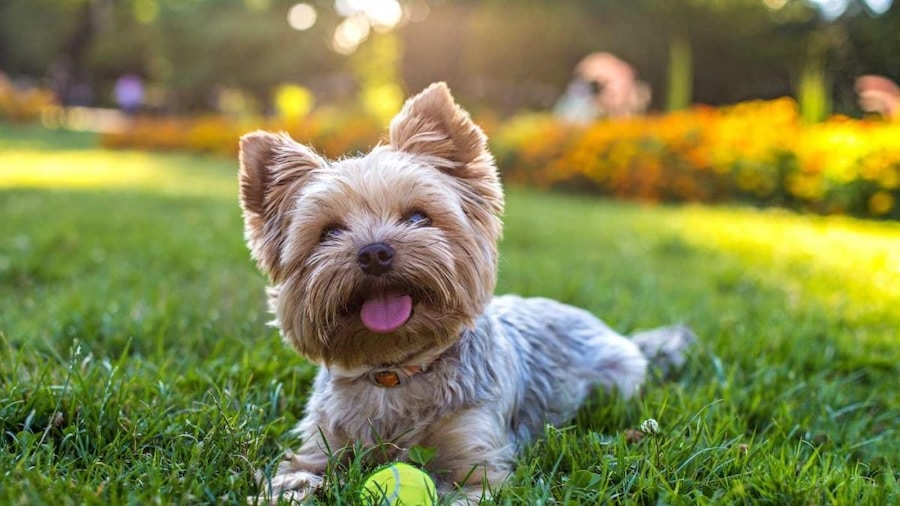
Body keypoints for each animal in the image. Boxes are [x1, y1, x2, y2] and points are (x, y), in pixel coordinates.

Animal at [239, 83, 696, 502]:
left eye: (418, 217)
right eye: (329, 232)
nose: (373, 253)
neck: (395, 373)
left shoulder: (476, 460)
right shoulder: (320, 444)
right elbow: (294, 475)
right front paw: (290, 489)